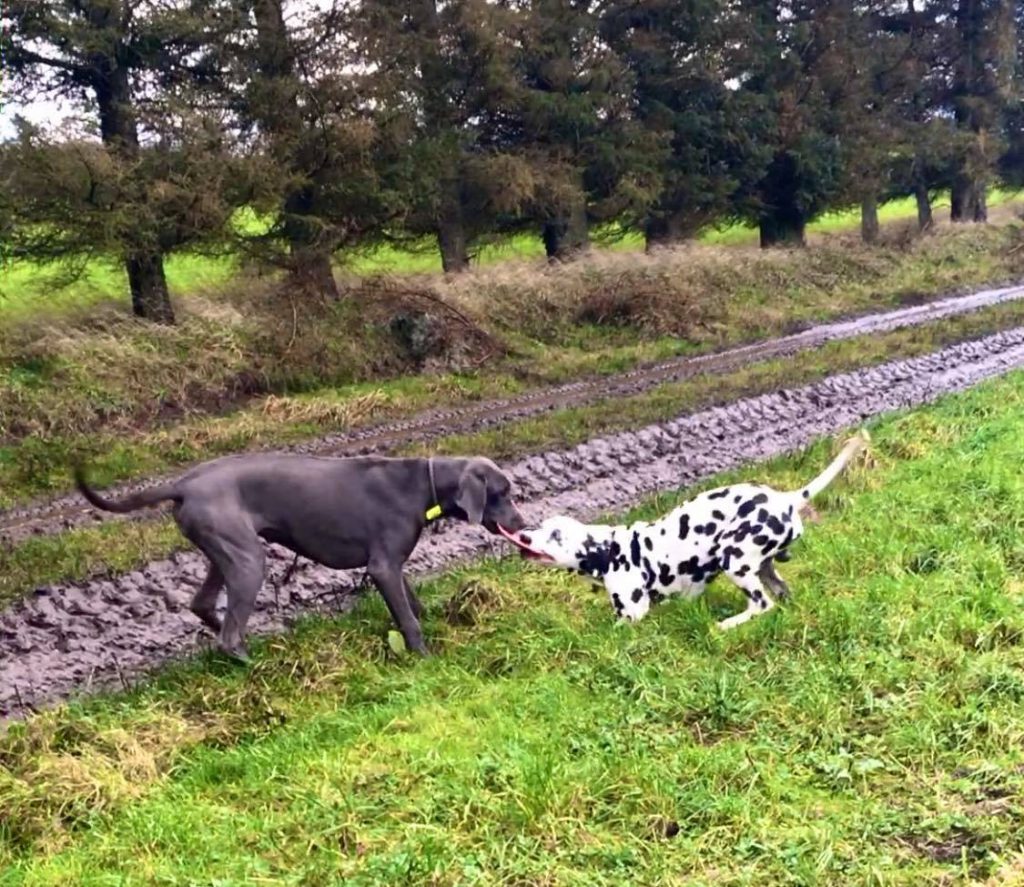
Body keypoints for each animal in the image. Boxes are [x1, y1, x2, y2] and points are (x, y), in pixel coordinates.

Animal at [77, 456, 528, 655]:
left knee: (203, 604)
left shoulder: (391, 564)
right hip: (248, 559)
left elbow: (412, 603)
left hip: (225, 549)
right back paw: (251, 662)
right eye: (502, 492)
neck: (424, 483)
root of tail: (183, 485)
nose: (523, 525)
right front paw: (424, 658)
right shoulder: (382, 566)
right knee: (228, 637)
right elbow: (409, 620)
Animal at [499, 430, 868, 630]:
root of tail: (787, 499)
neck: (611, 552)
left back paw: (729, 624)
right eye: (542, 527)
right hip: (764, 568)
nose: (523, 536)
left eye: (556, 536)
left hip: (735, 559)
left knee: (762, 605)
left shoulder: (633, 613)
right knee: (780, 594)